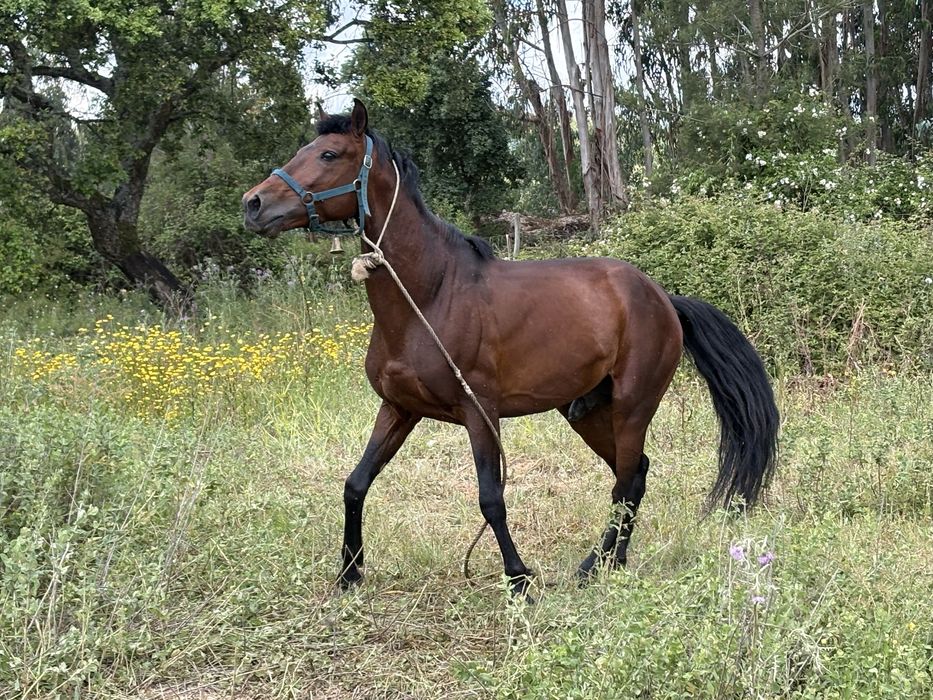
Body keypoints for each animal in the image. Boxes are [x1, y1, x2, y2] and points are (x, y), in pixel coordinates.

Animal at [242, 99, 779, 597]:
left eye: (329, 154)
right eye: (304, 149)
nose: (253, 204)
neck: (430, 296)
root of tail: (663, 298)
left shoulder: (480, 412)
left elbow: (490, 497)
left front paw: (518, 578)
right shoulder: (398, 409)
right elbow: (355, 484)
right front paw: (350, 572)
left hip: (632, 406)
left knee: (626, 482)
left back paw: (592, 567)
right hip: (587, 411)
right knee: (636, 476)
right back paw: (614, 562)